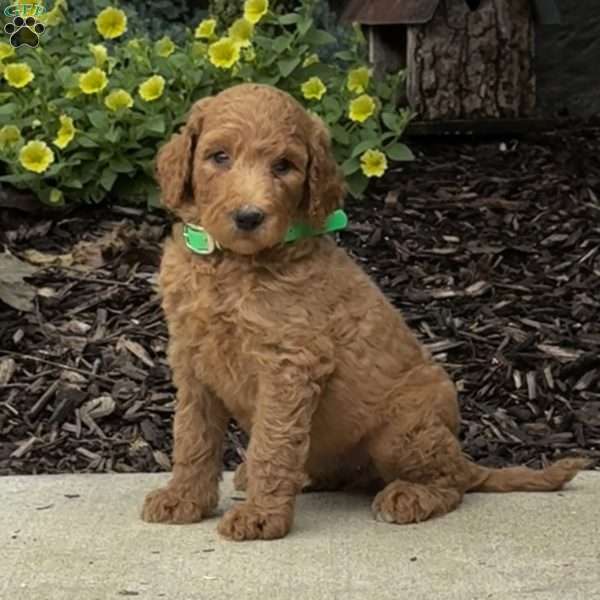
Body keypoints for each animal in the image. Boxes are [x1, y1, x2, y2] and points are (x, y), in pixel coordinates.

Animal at [143, 83, 588, 540]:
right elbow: (192, 435)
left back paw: (409, 496)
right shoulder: (191, 359)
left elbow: (272, 441)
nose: (249, 217)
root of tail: (467, 461)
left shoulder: (289, 364)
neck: (230, 264)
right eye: (219, 157)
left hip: (400, 430)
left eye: (284, 166)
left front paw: (260, 516)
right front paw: (183, 499)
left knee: (451, 483)